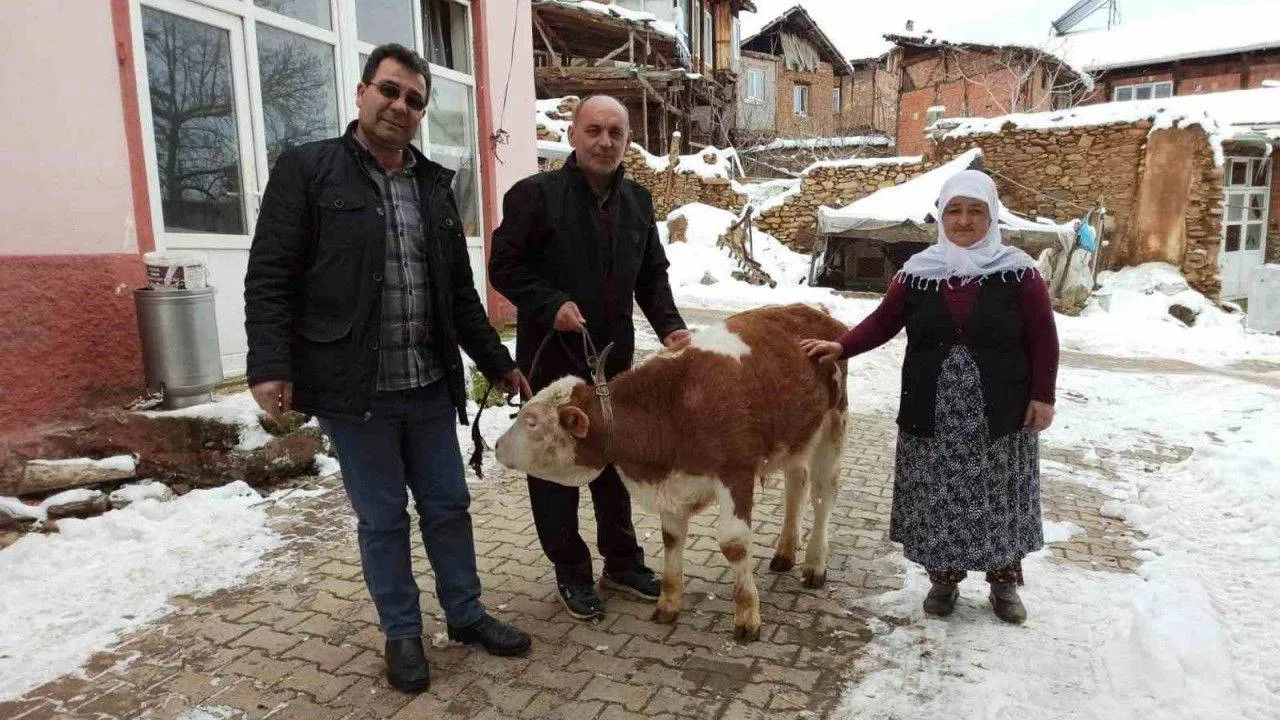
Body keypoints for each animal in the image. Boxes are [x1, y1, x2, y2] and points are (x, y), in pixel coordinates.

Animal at [493, 304, 849, 642]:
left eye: (531, 422)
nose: (496, 446)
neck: (674, 403)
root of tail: (816, 312)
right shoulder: (673, 484)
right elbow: (672, 538)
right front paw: (668, 604)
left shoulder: (736, 472)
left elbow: (734, 544)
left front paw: (747, 616)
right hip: (796, 437)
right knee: (796, 485)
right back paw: (786, 552)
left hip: (833, 424)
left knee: (822, 497)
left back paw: (815, 564)